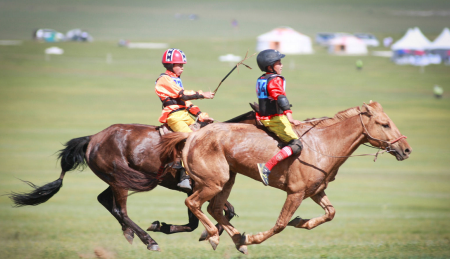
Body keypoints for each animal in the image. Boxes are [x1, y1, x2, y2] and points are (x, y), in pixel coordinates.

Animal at [7, 111, 256, 252]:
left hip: (116, 179)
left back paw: (129, 232)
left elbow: (217, 214)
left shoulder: (200, 190)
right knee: (120, 209)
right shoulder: (199, 188)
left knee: (104, 200)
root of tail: (93, 138)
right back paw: (148, 240)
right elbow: (209, 216)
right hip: (119, 180)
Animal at [158, 102, 412, 256]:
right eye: (384, 124)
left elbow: (330, 213)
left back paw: (238, 239)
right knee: (194, 203)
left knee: (215, 208)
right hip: (213, 182)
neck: (323, 145)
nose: (407, 150)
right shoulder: (296, 193)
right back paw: (214, 237)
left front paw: (300, 222)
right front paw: (255, 237)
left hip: (227, 179)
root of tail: (192, 137)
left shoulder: (316, 191)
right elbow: (280, 224)